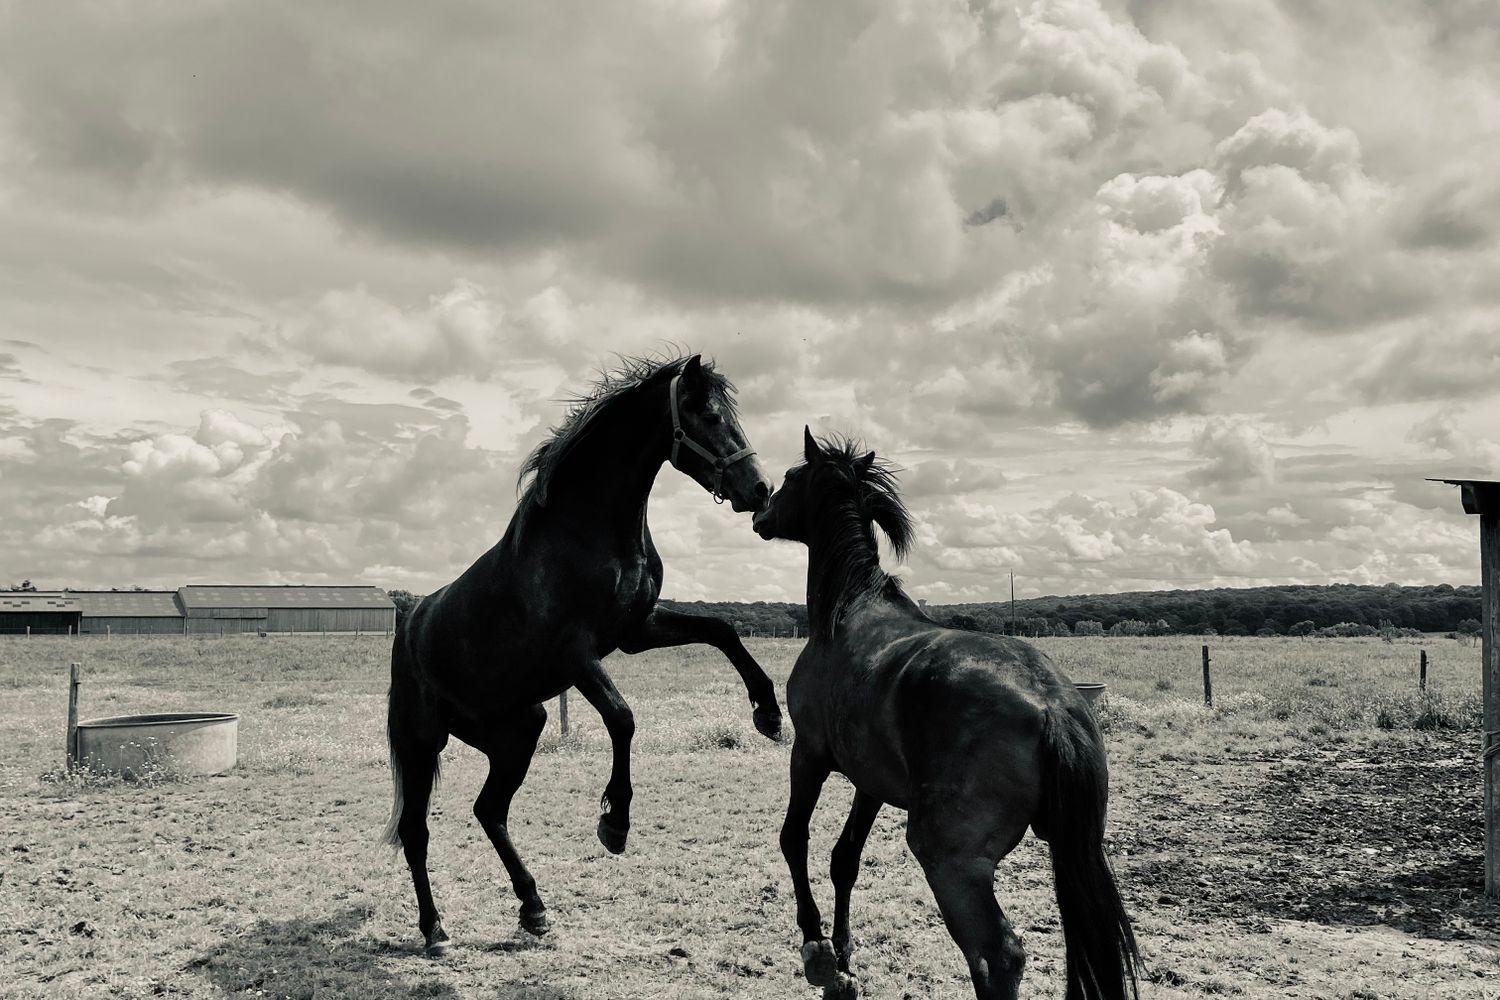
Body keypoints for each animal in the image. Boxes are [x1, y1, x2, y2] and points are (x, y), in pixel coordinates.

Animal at [383, 353, 783, 956]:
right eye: (711, 415)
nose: (759, 488)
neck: (587, 533)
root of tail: (408, 627)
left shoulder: (636, 629)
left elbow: (723, 629)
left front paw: (768, 713)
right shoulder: (576, 653)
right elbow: (623, 717)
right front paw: (615, 823)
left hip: (518, 731)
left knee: (489, 810)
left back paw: (533, 908)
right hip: (420, 741)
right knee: (417, 830)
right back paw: (435, 930)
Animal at [752, 429, 1140, 1000]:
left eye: (791, 477)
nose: (760, 512)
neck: (848, 611)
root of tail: (1051, 703)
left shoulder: (809, 754)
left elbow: (792, 838)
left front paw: (816, 950)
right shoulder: (870, 781)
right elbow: (845, 859)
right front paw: (844, 957)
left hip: (950, 862)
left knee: (998, 956)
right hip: (1075, 850)